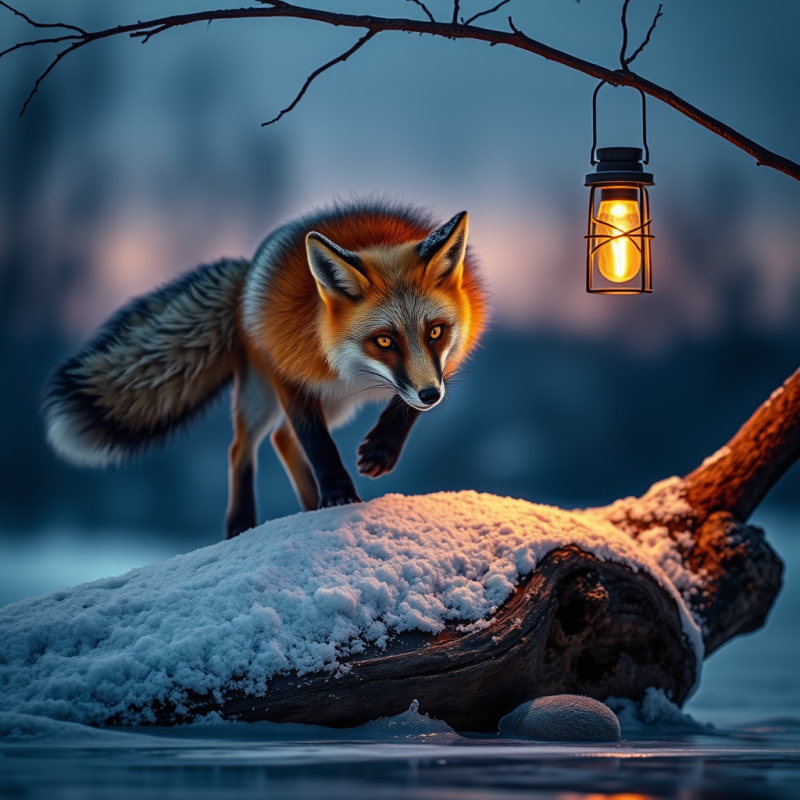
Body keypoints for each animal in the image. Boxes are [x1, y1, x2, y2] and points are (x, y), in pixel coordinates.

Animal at [43, 200, 488, 539]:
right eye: (384, 341)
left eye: (435, 332)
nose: (432, 396)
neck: (354, 368)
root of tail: (246, 278)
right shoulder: (289, 374)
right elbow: (318, 445)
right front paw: (339, 495)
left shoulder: (444, 364)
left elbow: (404, 408)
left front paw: (382, 448)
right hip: (264, 397)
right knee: (246, 446)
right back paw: (243, 521)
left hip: (336, 404)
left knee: (282, 439)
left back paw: (311, 506)